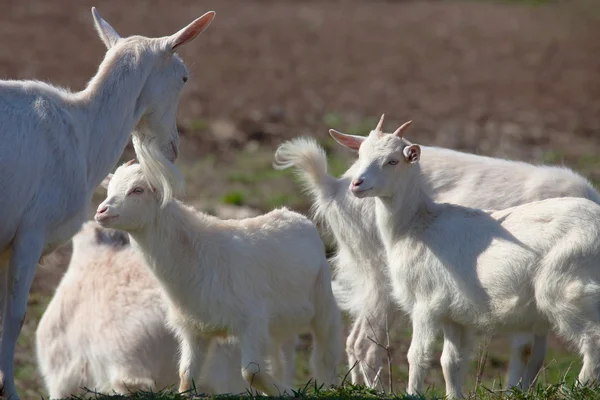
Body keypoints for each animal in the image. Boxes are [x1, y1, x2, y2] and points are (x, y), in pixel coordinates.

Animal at [0, 7, 216, 396]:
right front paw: (7, 390)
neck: (83, 133)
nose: (174, 148)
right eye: (184, 77)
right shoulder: (30, 230)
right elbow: (14, 316)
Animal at [91, 163, 340, 396]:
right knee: (282, 356)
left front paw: (288, 393)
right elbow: (186, 375)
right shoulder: (194, 329)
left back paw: (328, 385)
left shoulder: (252, 319)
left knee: (326, 350)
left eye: (138, 190)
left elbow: (251, 372)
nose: (101, 211)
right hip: (279, 324)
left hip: (322, 298)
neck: (195, 252)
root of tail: (293, 213)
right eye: (110, 189)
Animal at [274, 115, 600, 390]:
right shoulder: (455, 313)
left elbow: (419, 356)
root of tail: (331, 188)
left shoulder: (429, 303)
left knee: (593, 341)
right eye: (360, 154)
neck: (419, 223)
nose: (358, 183)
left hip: (563, 291)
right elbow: (451, 362)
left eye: (392, 160)